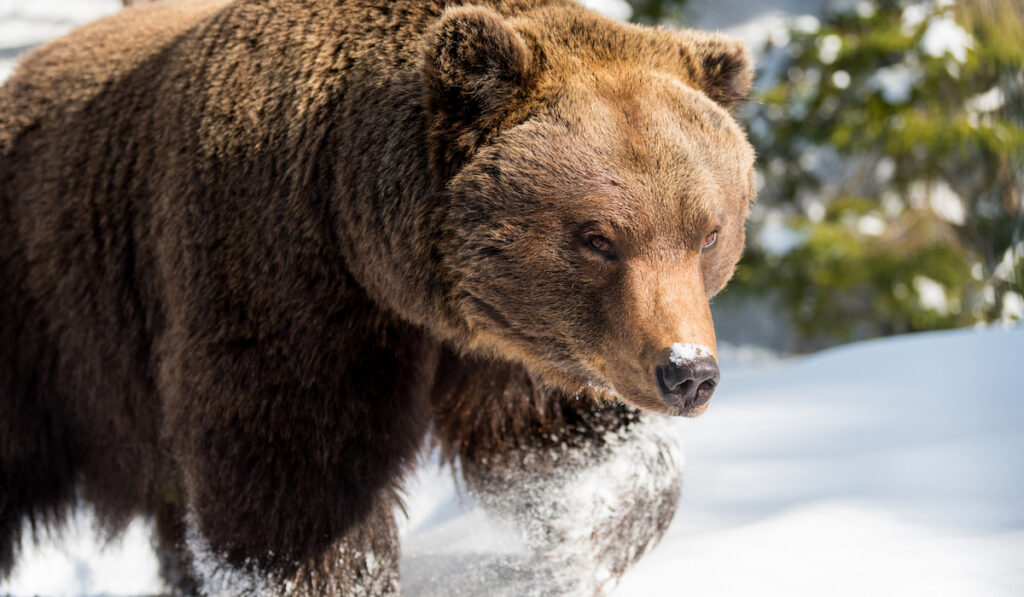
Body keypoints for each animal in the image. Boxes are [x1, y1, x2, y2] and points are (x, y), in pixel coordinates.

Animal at [0, 1, 753, 593]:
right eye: (598, 237)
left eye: (708, 231)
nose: (687, 371)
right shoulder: (281, 282)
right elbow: (296, 492)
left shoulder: (519, 340)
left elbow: (564, 451)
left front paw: (535, 560)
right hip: (52, 330)